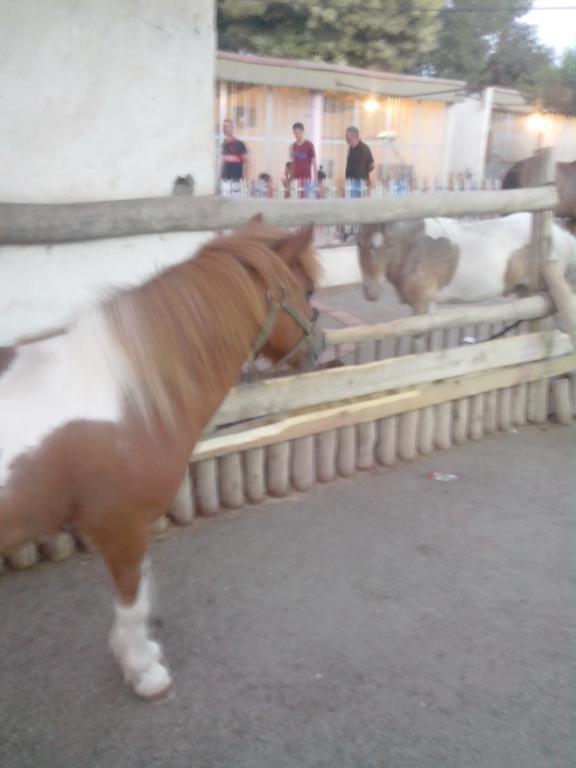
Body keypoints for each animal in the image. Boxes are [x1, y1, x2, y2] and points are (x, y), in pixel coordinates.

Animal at [0, 220, 320, 704]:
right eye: (309, 290)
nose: (321, 347)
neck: (124, 400)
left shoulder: (134, 528)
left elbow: (142, 593)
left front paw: (137, 652)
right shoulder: (122, 528)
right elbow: (132, 603)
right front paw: (144, 672)